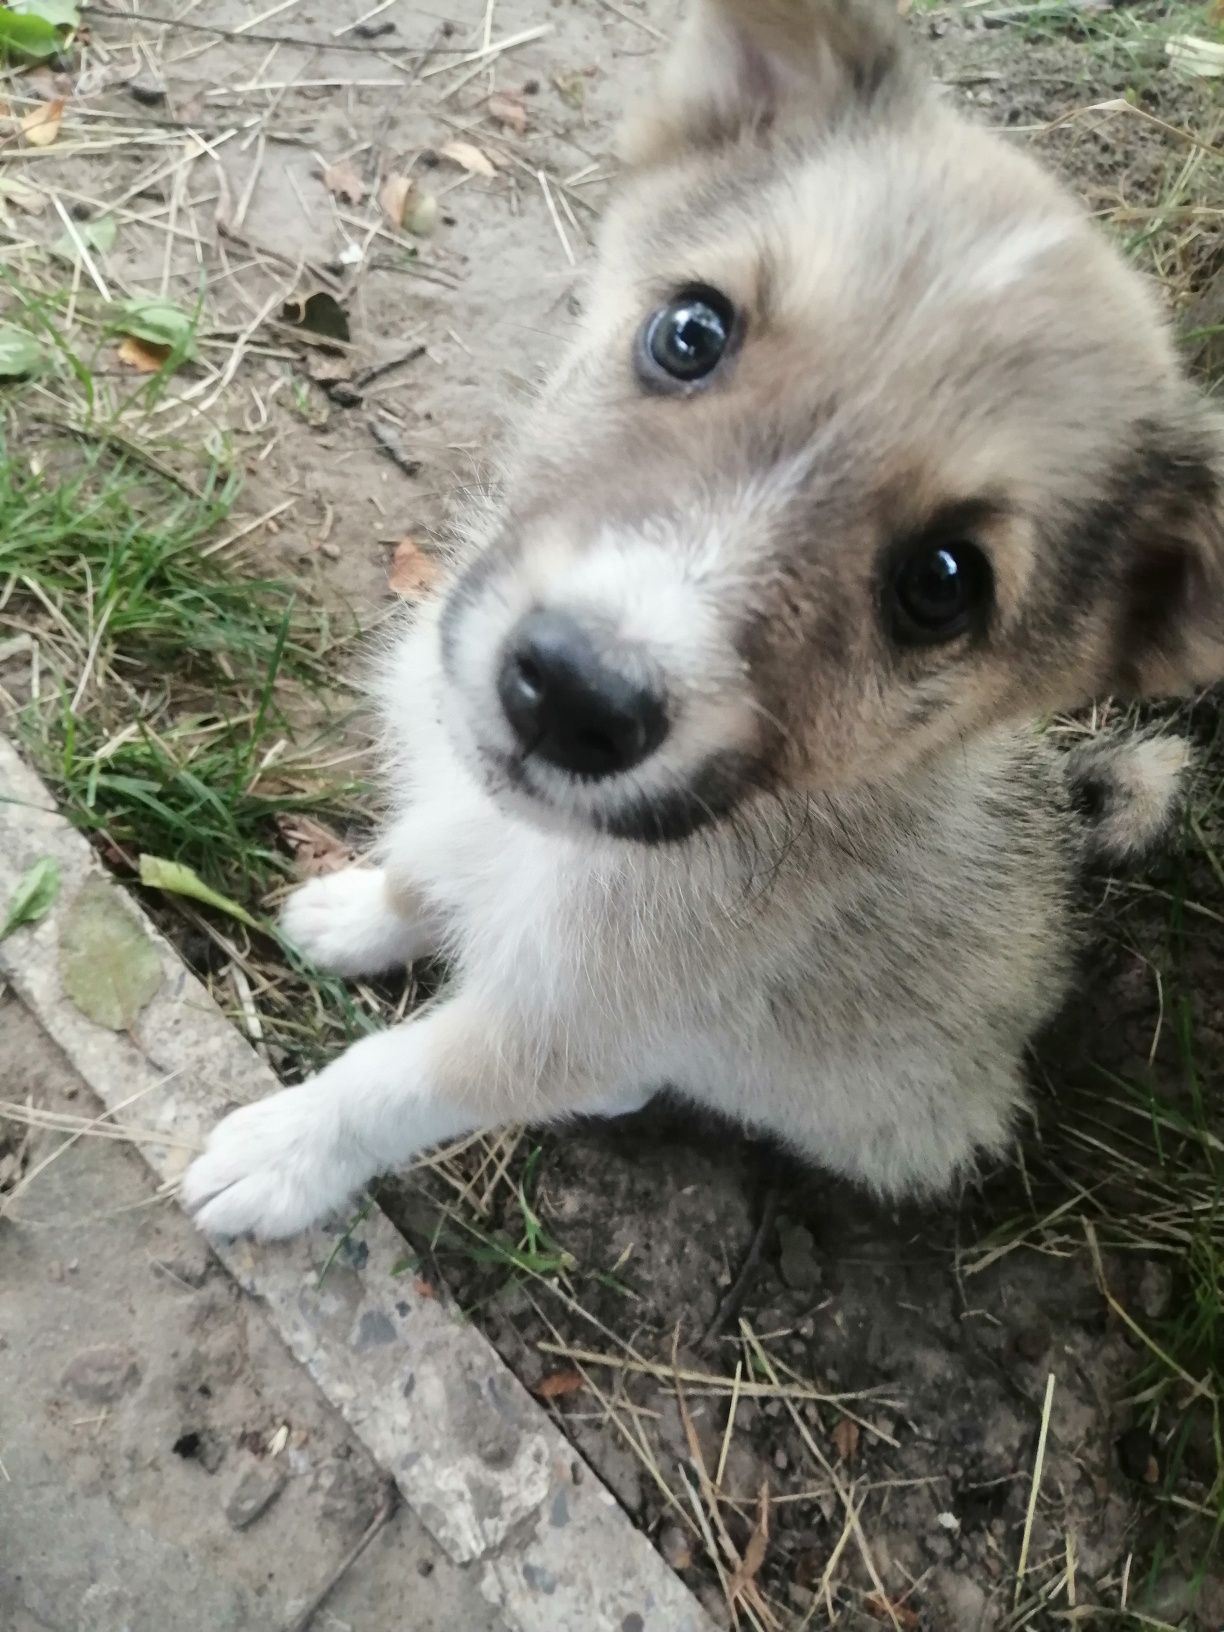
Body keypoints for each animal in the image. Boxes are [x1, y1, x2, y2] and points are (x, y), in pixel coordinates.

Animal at [179, 0, 1220, 1233]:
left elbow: (398, 1079)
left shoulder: (566, 1023)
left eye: (943, 583)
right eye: (691, 332)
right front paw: (361, 910)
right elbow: (425, 863)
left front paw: (283, 1154)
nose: (573, 699)